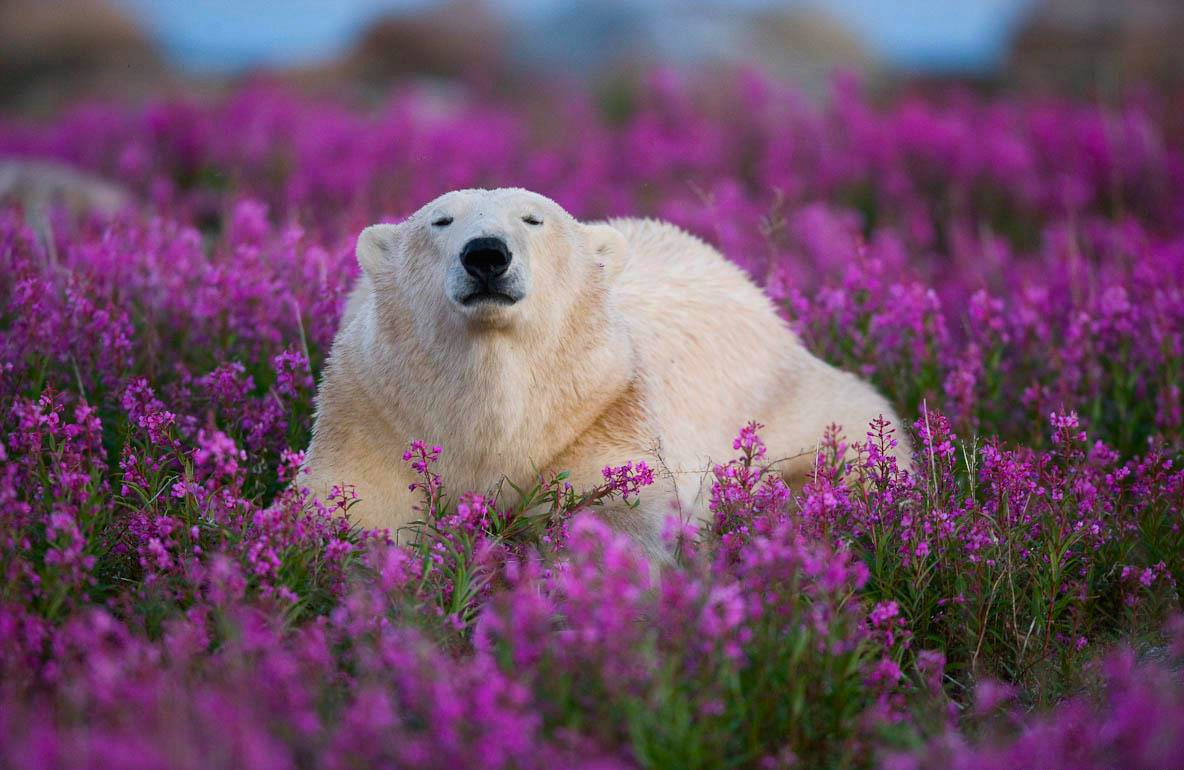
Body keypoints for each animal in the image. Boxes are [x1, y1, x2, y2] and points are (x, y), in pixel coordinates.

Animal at [300, 189, 909, 554]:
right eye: (440, 220)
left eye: (533, 219)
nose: (486, 254)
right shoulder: (373, 407)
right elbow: (356, 501)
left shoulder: (601, 405)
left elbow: (617, 511)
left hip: (793, 399)